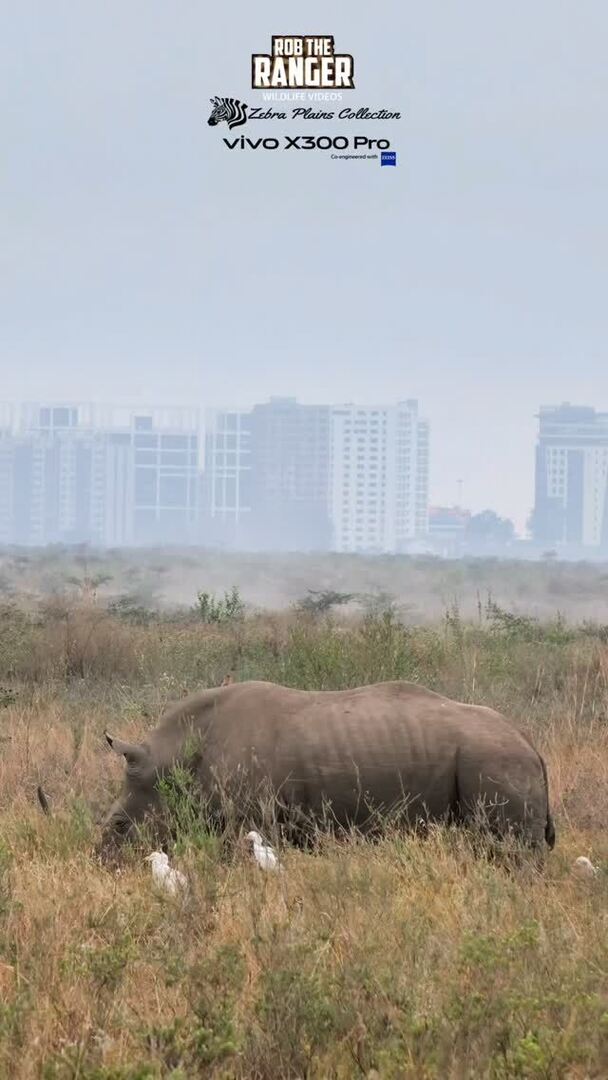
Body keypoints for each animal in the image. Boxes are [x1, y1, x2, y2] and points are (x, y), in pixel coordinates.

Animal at [102, 680, 555, 852]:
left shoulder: (251, 818)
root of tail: (531, 744)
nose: (104, 863)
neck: (172, 760)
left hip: (495, 758)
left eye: (121, 826)